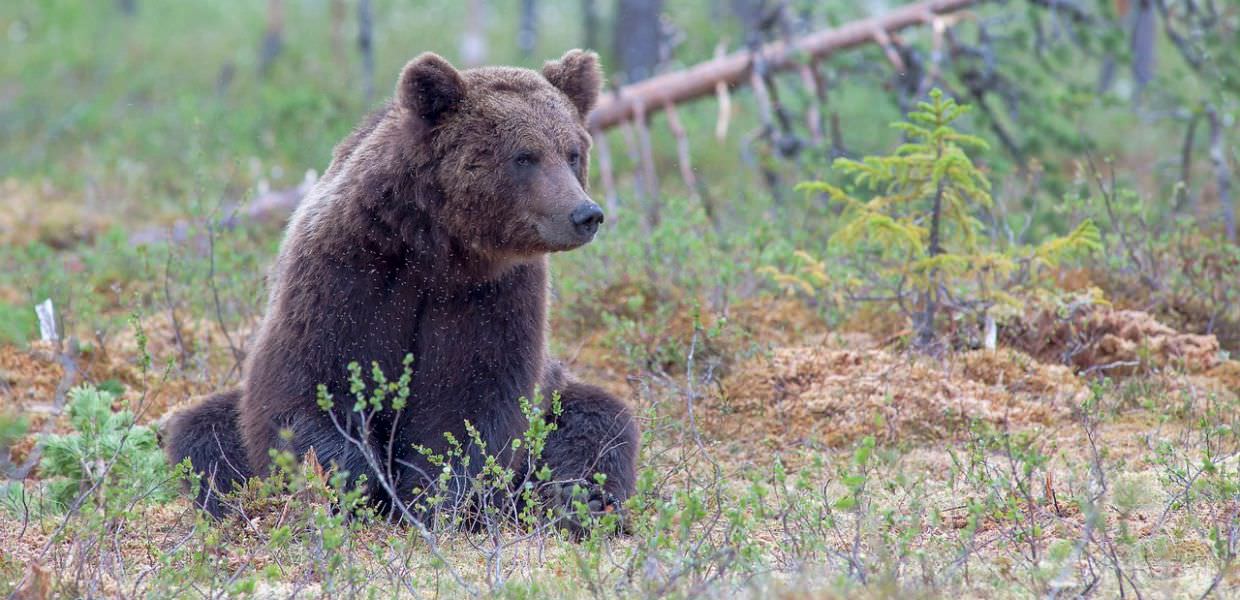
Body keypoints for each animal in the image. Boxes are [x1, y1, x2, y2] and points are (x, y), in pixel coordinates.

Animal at [163, 49, 639, 531]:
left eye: (573, 152)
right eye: (525, 156)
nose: (585, 214)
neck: (436, 245)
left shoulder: (493, 294)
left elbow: (472, 400)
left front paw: (435, 499)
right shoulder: (347, 271)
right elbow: (312, 382)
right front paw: (349, 486)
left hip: (557, 390)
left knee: (598, 423)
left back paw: (577, 500)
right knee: (203, 433)